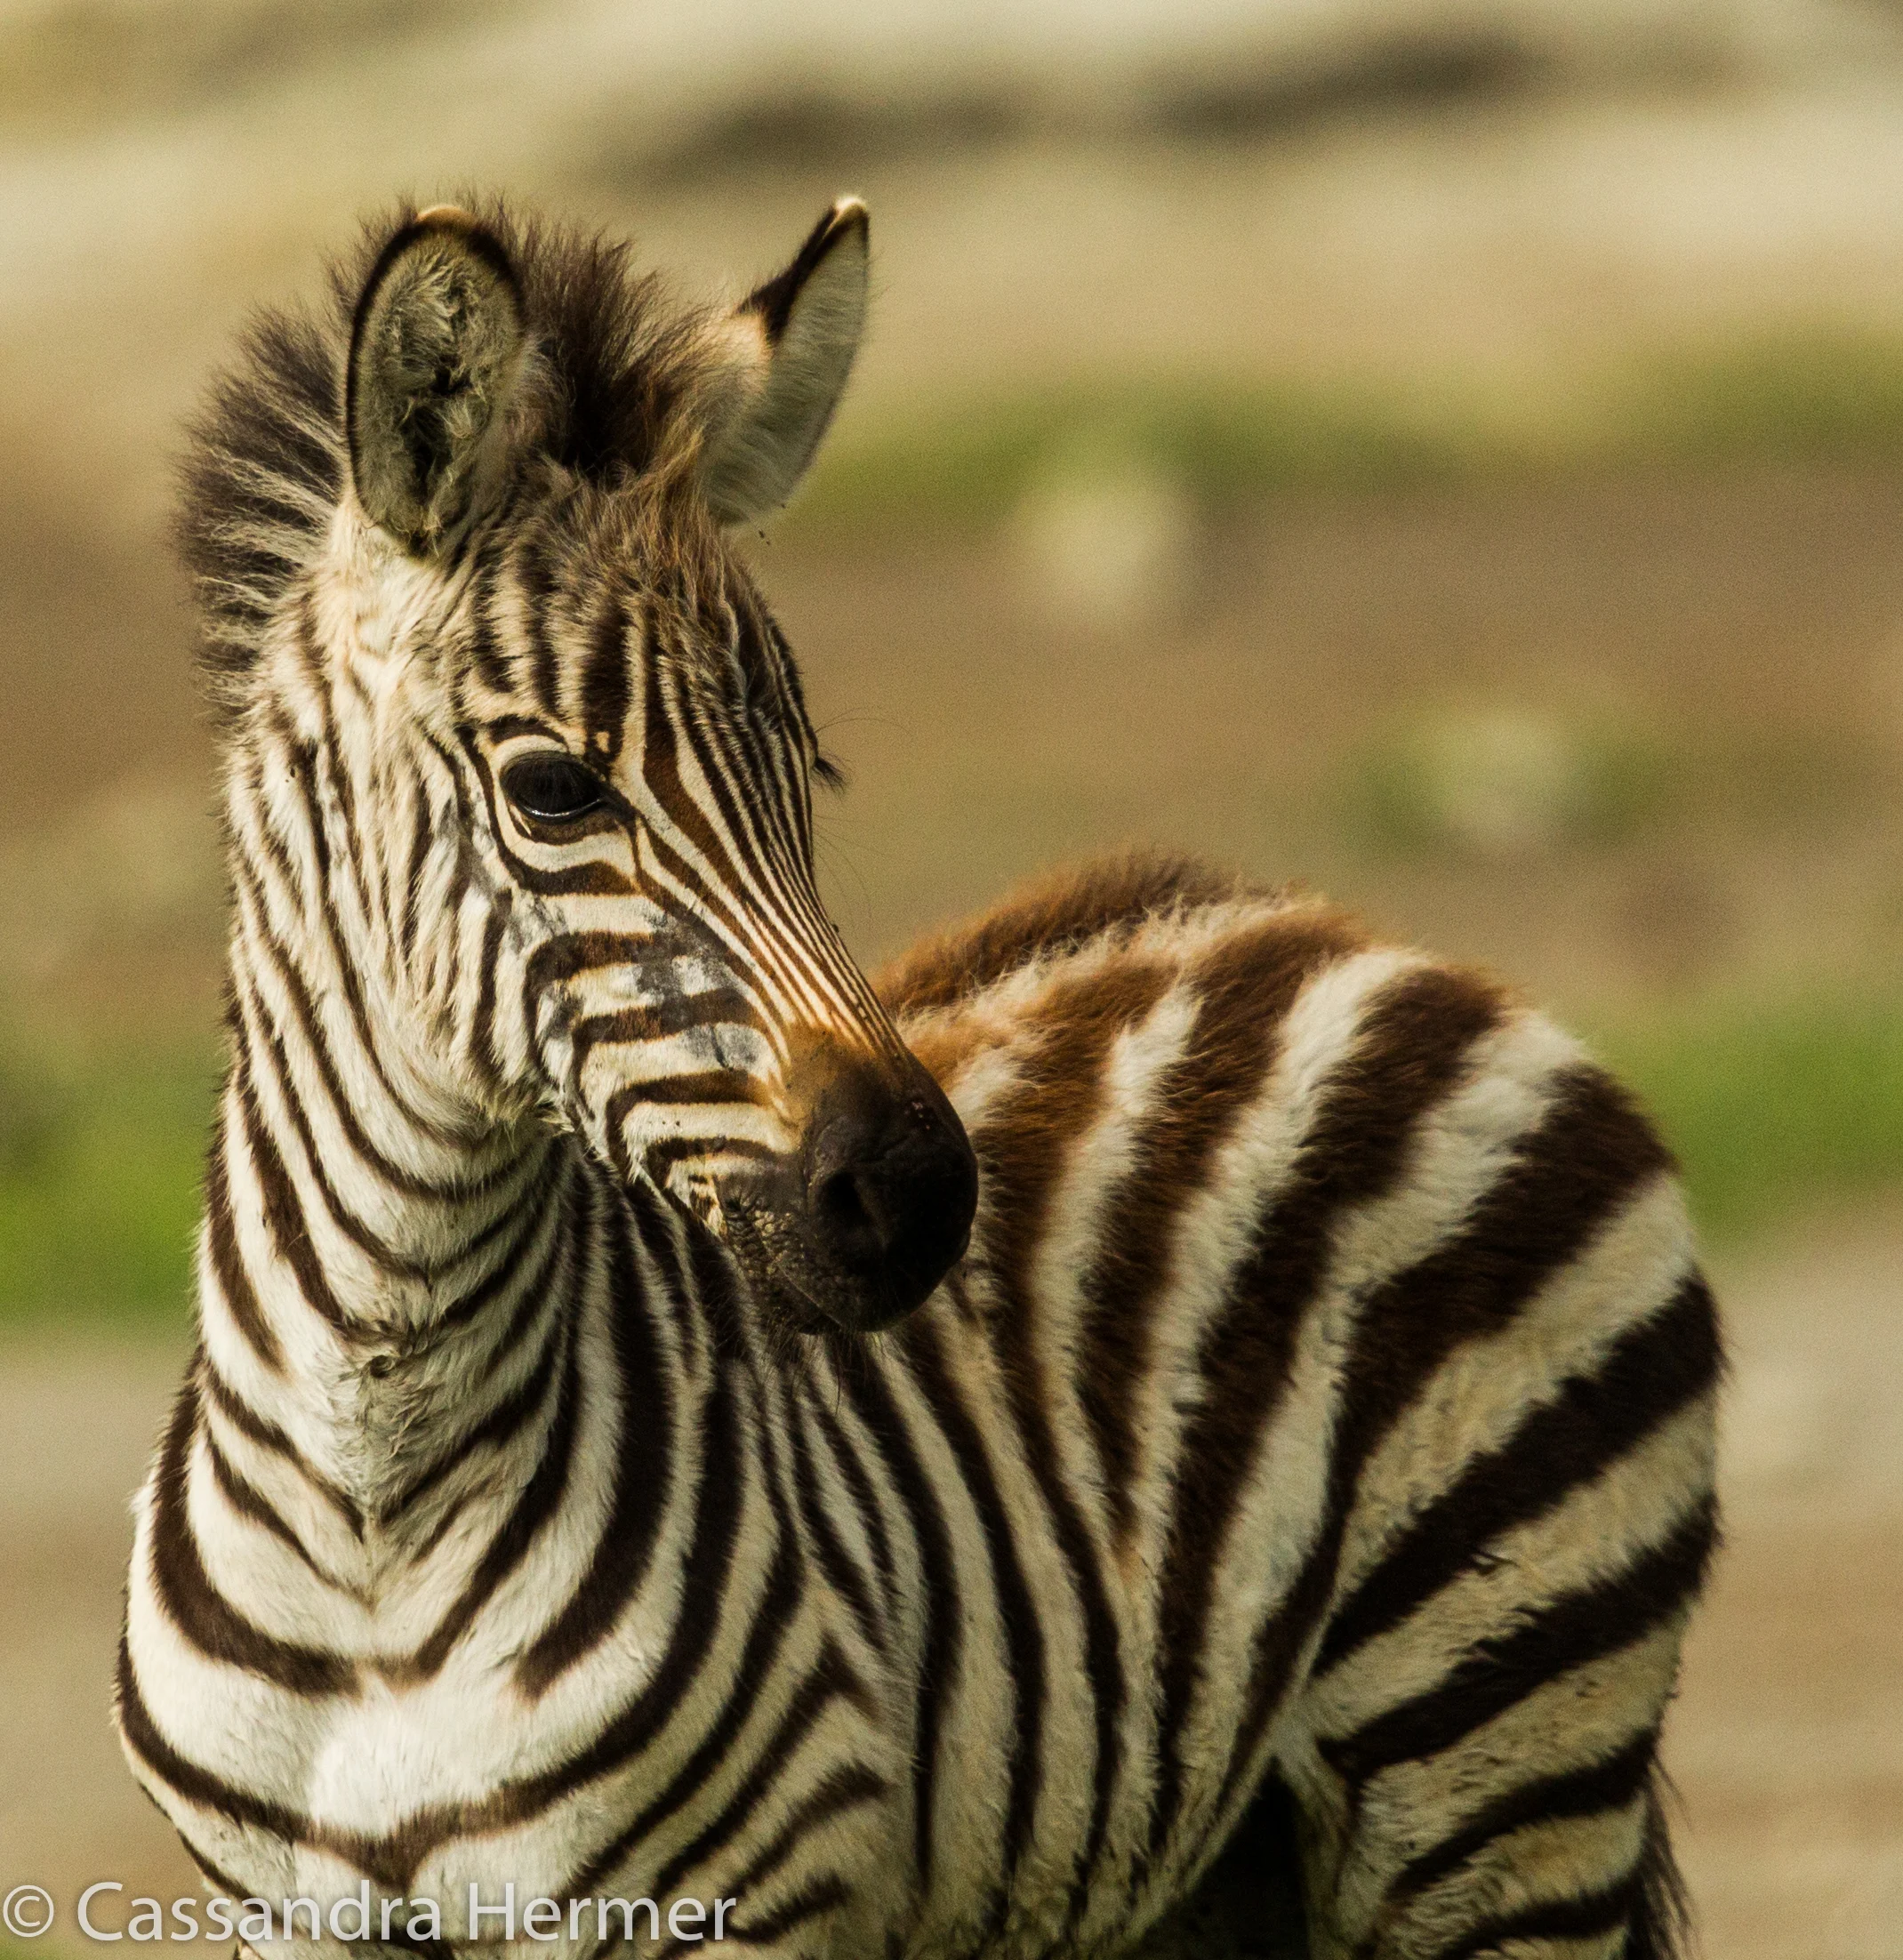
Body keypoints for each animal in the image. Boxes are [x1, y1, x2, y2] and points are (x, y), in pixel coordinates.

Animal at [118, 195, 1720, 1960]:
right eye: (552, 790)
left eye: (806, 776)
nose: (923, 1195)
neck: (374, 1516)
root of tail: (1382, 946)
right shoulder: (268, 1917)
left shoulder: (738, 1900)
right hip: (1222, 1858)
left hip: (1504, 1758)